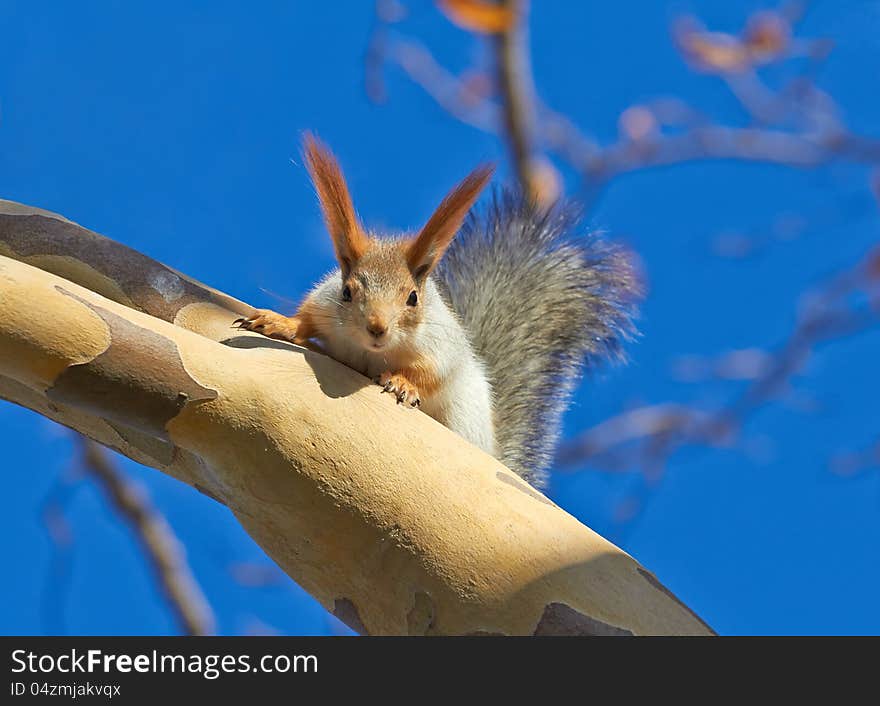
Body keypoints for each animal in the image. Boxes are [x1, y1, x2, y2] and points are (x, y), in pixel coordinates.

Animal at [235, 138, 640, 490]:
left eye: (413, 298)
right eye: (347, 291)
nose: (377, 328)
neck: (371, 353)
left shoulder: (442, 346)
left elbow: (433, 373)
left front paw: (403, 383)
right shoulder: (324, 303)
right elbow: (306, 319)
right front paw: (277, 323)